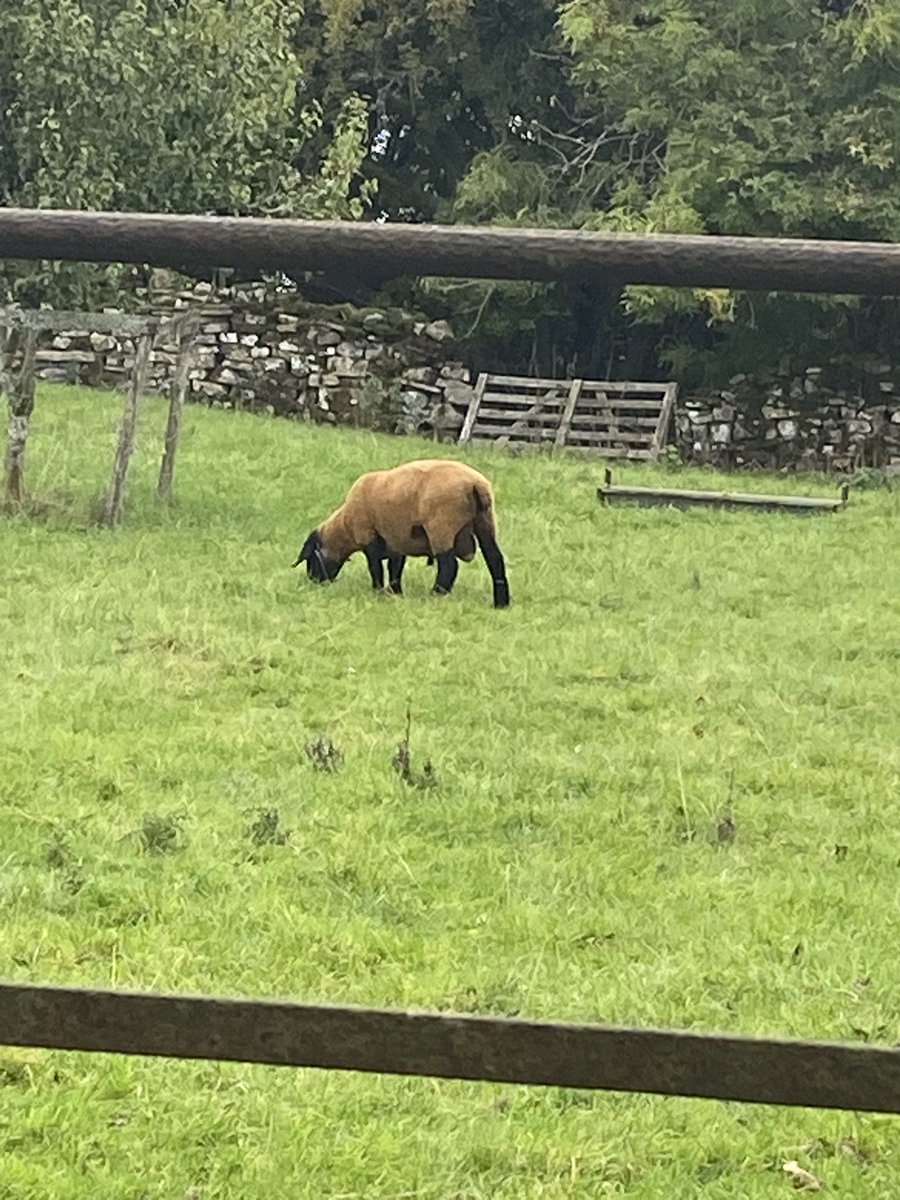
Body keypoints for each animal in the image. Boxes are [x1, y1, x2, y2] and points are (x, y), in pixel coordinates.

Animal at [292, 458, 510, 607]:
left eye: (311, 558)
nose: (314, 581)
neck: (345, 525)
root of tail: (475, 484)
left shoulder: (369, 536)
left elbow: (376, 568)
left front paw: (379, 592)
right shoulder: (396, 540)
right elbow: (395, 569)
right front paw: (395, 593)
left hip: (442, 527)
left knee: (449, 566)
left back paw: (435, 595)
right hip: (486, 523)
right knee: (496, 561)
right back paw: (501, 603)